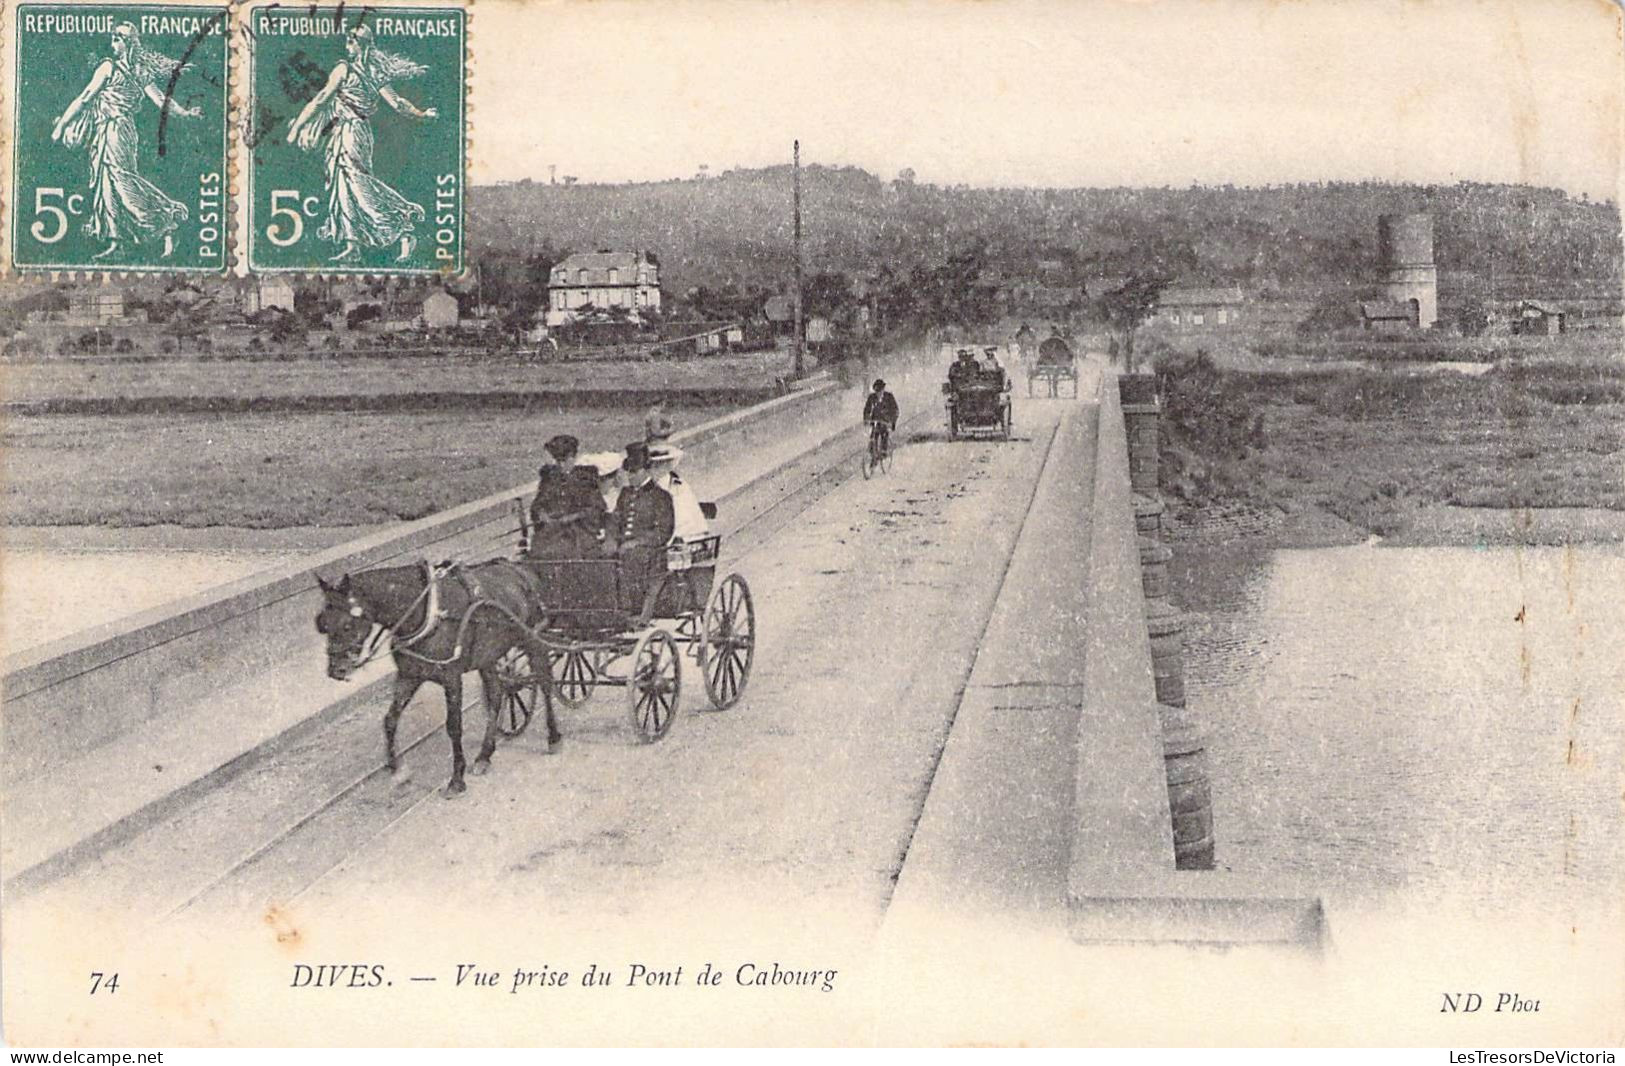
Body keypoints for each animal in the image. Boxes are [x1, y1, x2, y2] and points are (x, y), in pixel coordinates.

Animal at [313, 559, 562, 799]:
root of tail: (522, 569)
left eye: (347, 625)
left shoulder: (452, 679)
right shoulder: (409, 676)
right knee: (496, 693)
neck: (428, 614)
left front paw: (457, 779)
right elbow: (390, 719)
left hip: (532, 641)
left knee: (545, 682)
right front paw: (397, 770)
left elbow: (454, 726)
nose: (336, 670)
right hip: (488, 657)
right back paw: (484, 755)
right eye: (322, 624)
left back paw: (553, 737)